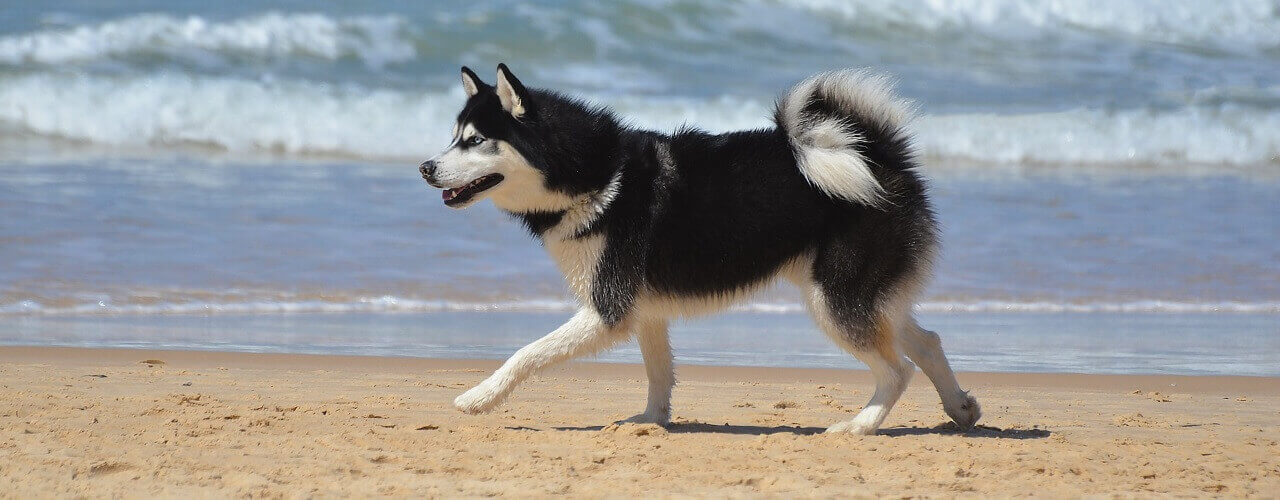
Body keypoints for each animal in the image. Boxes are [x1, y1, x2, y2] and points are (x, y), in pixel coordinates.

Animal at [419, 63, 977, 434]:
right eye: (453, 137)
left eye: (474, 140)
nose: (425, 167)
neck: (596, 177)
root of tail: (881, 156)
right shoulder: (644, 309)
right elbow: (658, 371)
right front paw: (650, 420)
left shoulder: (608, 309)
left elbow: (525, 353)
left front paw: (478, 398)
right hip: (855, 295)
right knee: (927, 341)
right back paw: (961, 408)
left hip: (833, 301)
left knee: (898, 369)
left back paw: (859, 425)